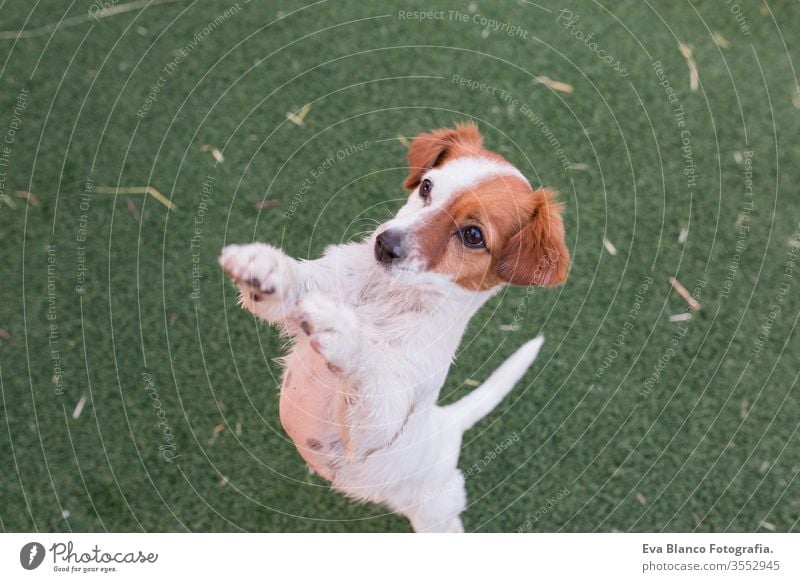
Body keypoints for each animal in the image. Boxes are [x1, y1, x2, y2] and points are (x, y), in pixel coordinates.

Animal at [219, 123, 568, 532]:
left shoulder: (377, 426)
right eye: (427, 187)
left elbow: (371, 364)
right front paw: (267, 265)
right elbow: (295, 281)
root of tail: (448, 426)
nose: (384, 244)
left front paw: (343, 332)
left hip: (437, 514)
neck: (387, 296)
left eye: (473, 236)